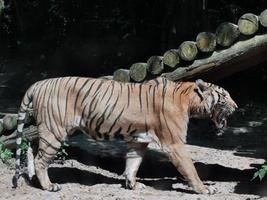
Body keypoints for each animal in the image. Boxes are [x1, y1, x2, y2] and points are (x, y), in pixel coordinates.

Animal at [13, 76, 239, 194]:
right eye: (224, 95)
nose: (236, 107)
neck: (189, 100)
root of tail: (38, 83)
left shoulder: (138, 141)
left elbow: (133, 163)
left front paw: (132, 184)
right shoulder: (175, 143)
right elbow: (190, 168)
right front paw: (204, 189)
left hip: (48, 130)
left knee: (32, 149)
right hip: (54, 131)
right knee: (41, 159)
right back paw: (49, 186)